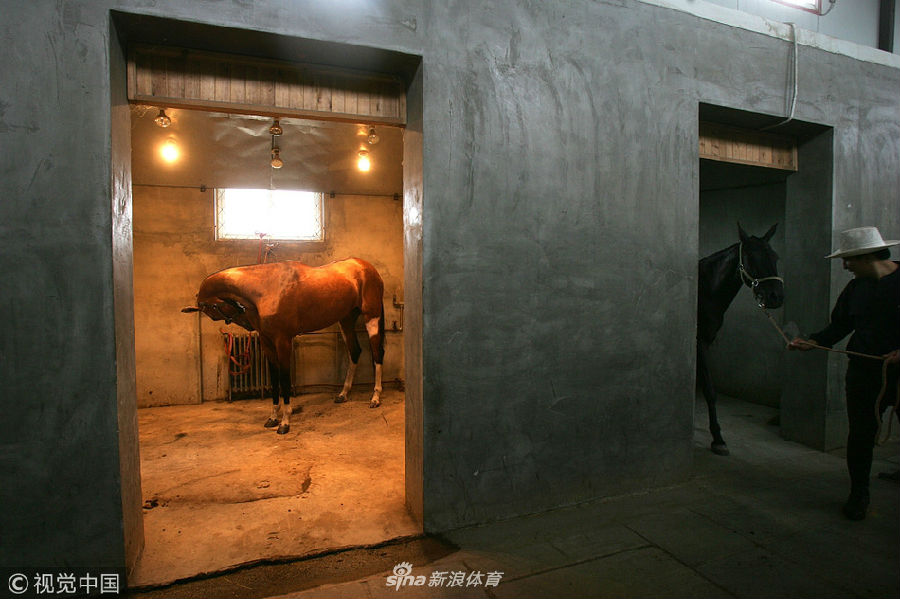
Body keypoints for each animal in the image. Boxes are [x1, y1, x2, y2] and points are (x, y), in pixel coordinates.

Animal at [182, 257, 386, 434]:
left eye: (213, 310)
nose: (248, 325)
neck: (266, 288)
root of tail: (368, 267)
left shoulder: (283, 342)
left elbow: (285, 379)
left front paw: (285, 422)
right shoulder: (267, 343)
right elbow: (274, 379)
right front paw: (273, 418)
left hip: (371, 317)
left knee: (377, 354)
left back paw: (375, 398)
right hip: (346, 320)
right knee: (355, 352)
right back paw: (343, 394)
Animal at [697, 223, 784, 455]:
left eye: (775, 256)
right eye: (751, 257)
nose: (775, 296)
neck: (706, 290)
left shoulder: (706, 342)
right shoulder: (699, 343)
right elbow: (709, 390)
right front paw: (717, 438)